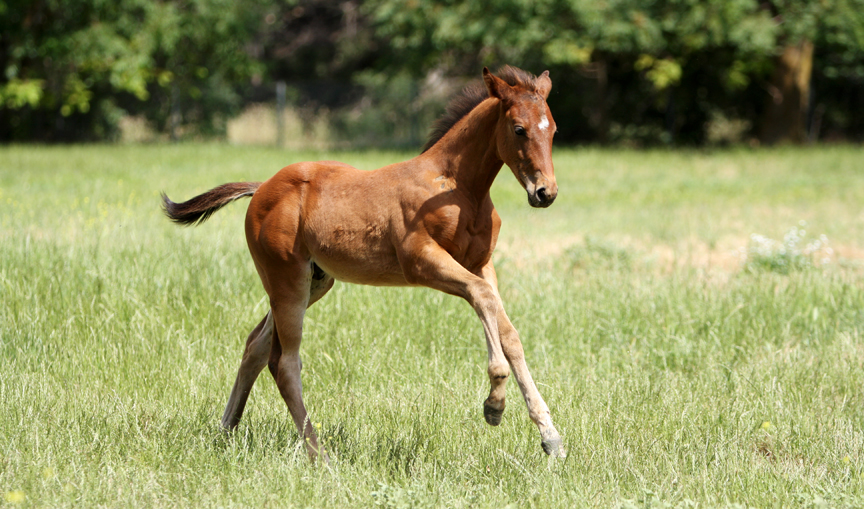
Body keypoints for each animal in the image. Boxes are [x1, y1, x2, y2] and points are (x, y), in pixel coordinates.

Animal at [162, 65, 568, 458]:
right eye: (519, 129)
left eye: (553, 129)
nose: (545, 193)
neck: (457, 188)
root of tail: (262, 188)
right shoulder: (422, 262)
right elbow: (482, 297)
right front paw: (494, 404)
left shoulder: (482, 263)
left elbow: (509, 333)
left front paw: (550, 436)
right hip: (286, 279)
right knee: (285, 361)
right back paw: (319, 455)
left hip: (315, 281)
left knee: (256, 346)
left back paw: (227, 429)